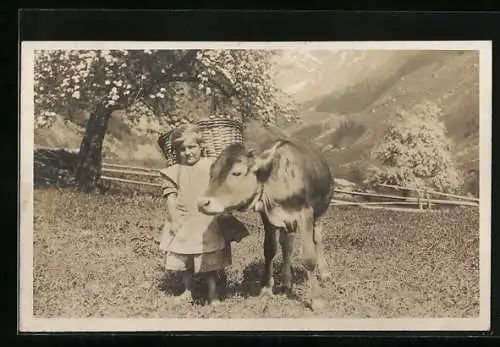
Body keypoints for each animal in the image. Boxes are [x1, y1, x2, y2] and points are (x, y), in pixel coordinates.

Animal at [197, 125, 334, 312]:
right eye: (212, 173)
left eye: (236, 173)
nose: (203, 203)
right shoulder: (268, 215)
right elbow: (270, 249)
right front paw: (266, 287)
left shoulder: (305, 213)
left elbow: (308, 256)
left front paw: (316, 299)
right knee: (287, 245)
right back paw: (286, 280)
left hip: (320, 212)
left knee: (317, 238)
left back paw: (325, 272)